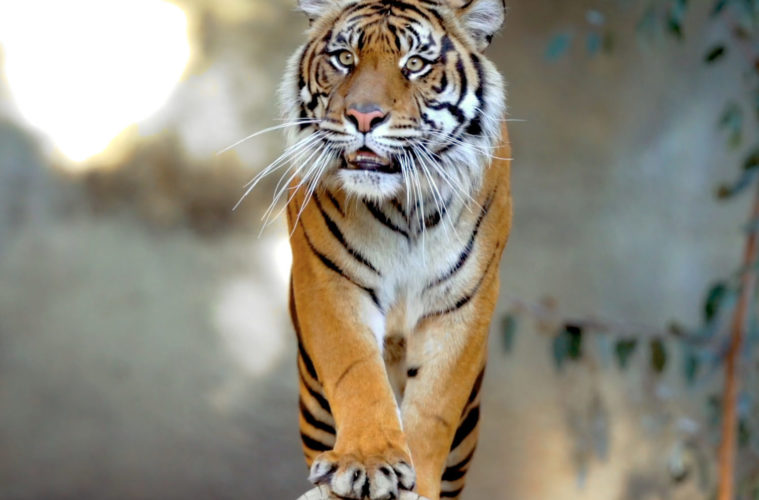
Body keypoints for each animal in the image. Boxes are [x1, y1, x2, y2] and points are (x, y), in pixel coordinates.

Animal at [276, 0, 512, 498]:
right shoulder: (330, 279)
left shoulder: (463, 299)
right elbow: (356, 370)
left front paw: (417, 481)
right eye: (345, 58)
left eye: (415, 64)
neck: (404, 204)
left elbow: (433, 406)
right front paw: (366, 461)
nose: (364, 117)